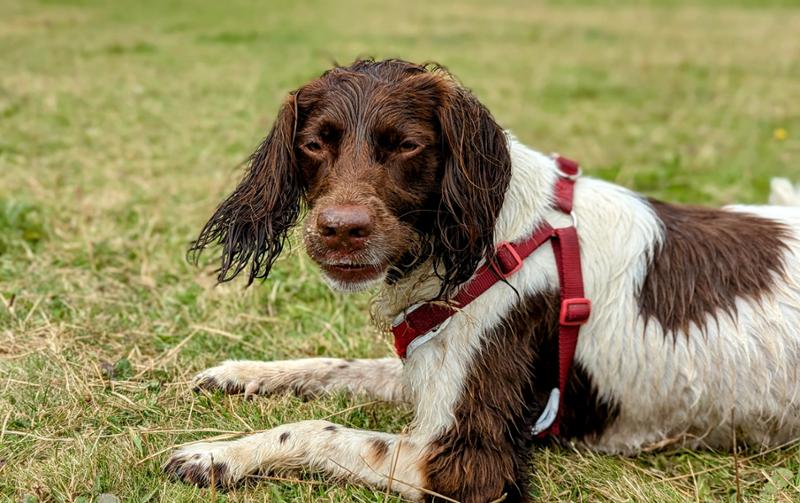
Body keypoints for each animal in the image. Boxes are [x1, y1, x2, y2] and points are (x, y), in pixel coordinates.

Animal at [162, 60, 800, 503]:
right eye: (315, 142)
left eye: (408, 145)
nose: (341, 229)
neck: (484, 242)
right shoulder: (429, 368)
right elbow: (332, 367)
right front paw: (243, 373)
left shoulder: (466, 463)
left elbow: (316, 430)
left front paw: (220, 455)